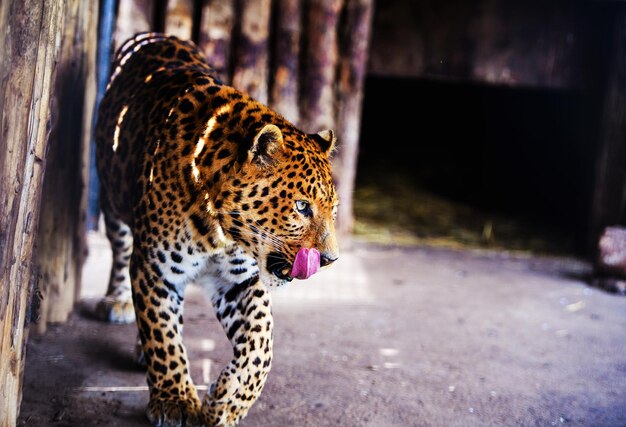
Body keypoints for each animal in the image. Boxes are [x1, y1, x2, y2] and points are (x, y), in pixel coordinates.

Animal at [93, 30, 338, 427]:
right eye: (302, 207)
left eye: (334, 210)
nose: (330, 260)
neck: (219, 231)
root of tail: (157, 34)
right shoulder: (155, 268)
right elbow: (162, 333)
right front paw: (175, 400)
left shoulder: (239, 282)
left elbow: (262, 344)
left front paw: (228, 399)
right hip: (112, 195)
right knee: (121, 250)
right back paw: (117, 301)